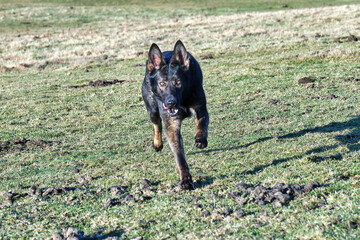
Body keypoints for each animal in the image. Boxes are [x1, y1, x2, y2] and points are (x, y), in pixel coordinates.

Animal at [141, 40, 208, 190]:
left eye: (178, 83)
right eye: (162, 83)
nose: (171, 103)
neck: (182, 99)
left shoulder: (201, 108)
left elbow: (202, 124)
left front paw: (200, 140)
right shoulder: (171, 126)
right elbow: (179, 157)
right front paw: (186, 180)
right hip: (152, 110)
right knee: (157, 125)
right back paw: (157, 144)